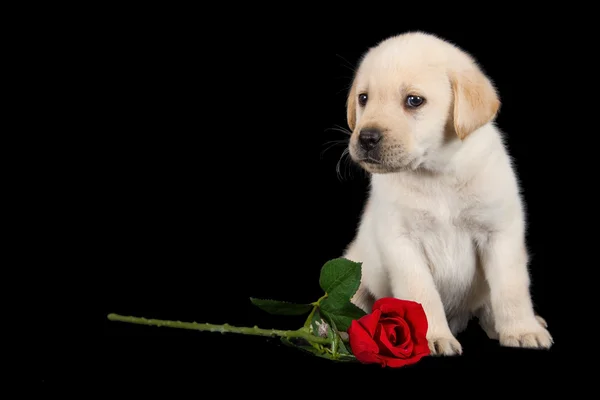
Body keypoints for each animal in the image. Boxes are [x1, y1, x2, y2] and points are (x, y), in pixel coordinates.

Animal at [342, 32, 552, 356]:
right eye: (364, 98)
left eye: (414, 101)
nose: (365, 138)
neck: (436, 174)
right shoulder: (401, 242)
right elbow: (421, 294)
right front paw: (433, 337)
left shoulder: (499, 233)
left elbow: (511, 288)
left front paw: (522, 329)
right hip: (358, 268)